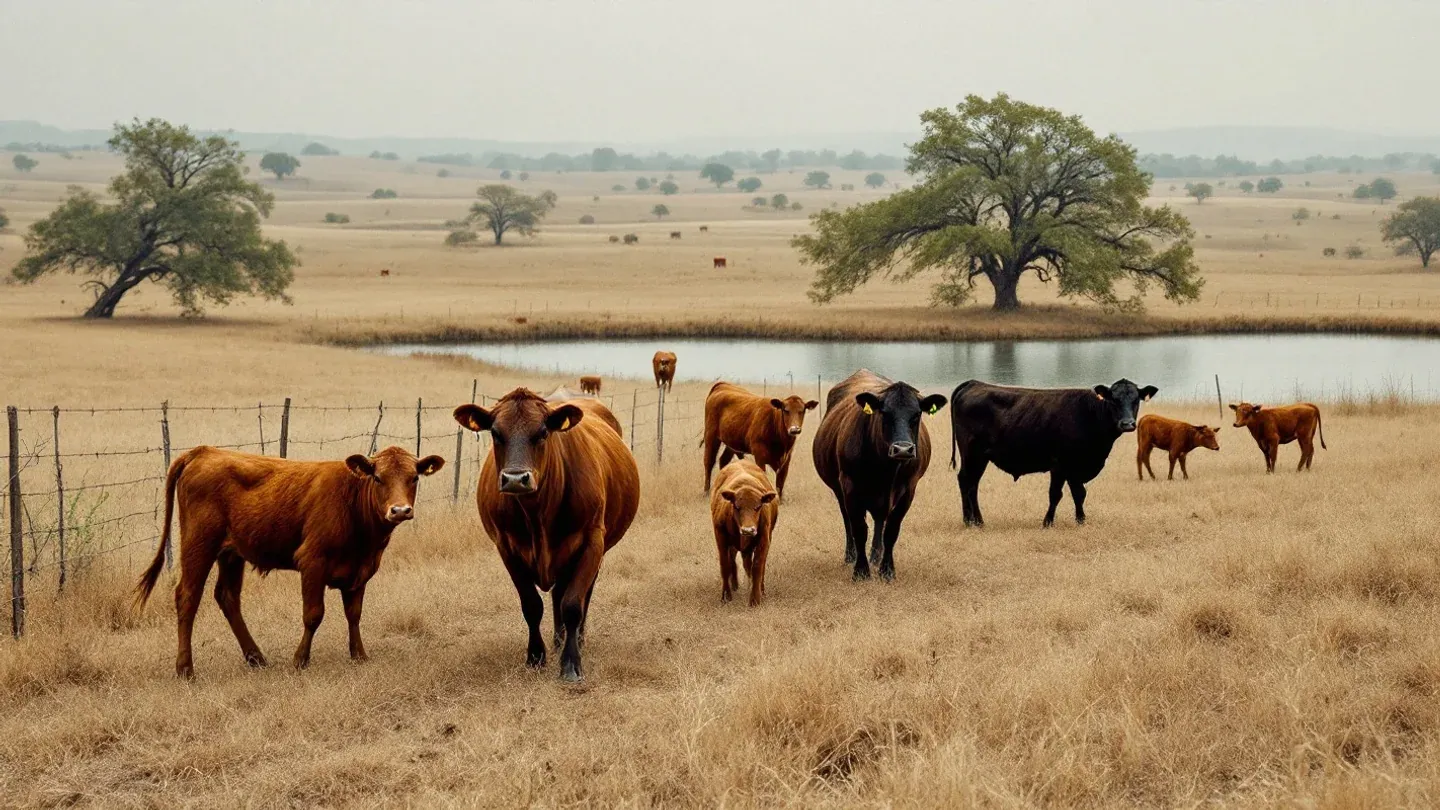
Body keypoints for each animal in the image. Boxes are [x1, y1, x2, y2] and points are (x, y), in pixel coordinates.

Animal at [135, 446, 445, 679]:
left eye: (414, 478)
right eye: (378, 478)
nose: (400, 510)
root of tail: (204, 451)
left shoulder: (362, 569)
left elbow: (354, 614)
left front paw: (359, 655)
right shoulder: (312, 561)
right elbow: (313, 614)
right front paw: (300, 660)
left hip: (231, 553)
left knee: (227, 596)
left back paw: (256, 657)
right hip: (198, 545)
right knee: (188, 596)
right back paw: (185, 669)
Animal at [453, 389, 639, 681]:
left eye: (542, 432)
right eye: (495, 432)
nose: (516, 478)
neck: (537, 514)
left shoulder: (592, 542)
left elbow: (573, 604)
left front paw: (571, 663)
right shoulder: (506, 548)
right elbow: (531, 605)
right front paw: (535, 656)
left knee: (579, 595)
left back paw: (576, 639)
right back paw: (558, 639)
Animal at [710, 459, 779, 606]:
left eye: (758, 506)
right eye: (736, 506)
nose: (748, 530)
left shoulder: (764, 539)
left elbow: (757, 565)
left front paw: (755, 598)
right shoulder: (721, 537)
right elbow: (724, 565)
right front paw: (726, 595)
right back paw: (735, 585)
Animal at [812, 369, 947, 581]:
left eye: (917, 414)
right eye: (884, 413)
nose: (903, 449)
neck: (886, 470)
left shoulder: (908, 490)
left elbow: (891, 530)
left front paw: (887, 569)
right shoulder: (850, 487)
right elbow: (859, 529)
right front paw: (861, 570)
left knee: (879, 521)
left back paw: (876, 556)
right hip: (838, 489)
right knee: (847, 520)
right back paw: (851, 555)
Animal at [950, 379, 1157, 528]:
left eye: (1136, 400)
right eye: (1113, 399)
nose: (1127, 424)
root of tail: (974, 383)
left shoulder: (1075, 468)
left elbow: (1079, 493)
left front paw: (1081, 520)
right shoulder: (1060, 464)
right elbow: (1056, 494)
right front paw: (1048, 522)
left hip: (980, 458)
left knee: (972, 483)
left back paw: (974, 520)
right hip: (972, 454)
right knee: (967, 482)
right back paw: (972, 521)